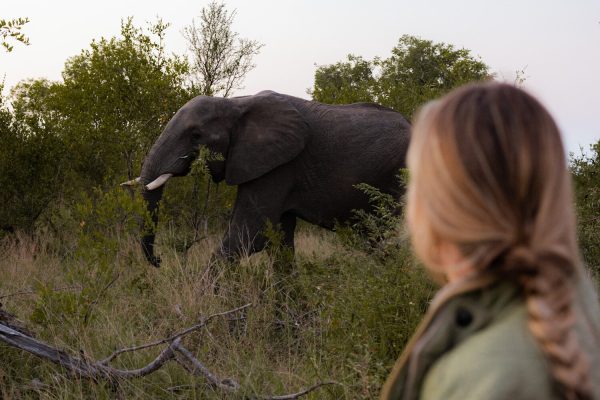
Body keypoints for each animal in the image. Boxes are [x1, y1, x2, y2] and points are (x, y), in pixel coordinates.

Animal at [124, 89, 410, 268]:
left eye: (196, 135)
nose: (159, 261)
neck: (235, 104)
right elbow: (279, 243)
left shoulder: (279, 166)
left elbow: (248, 236)